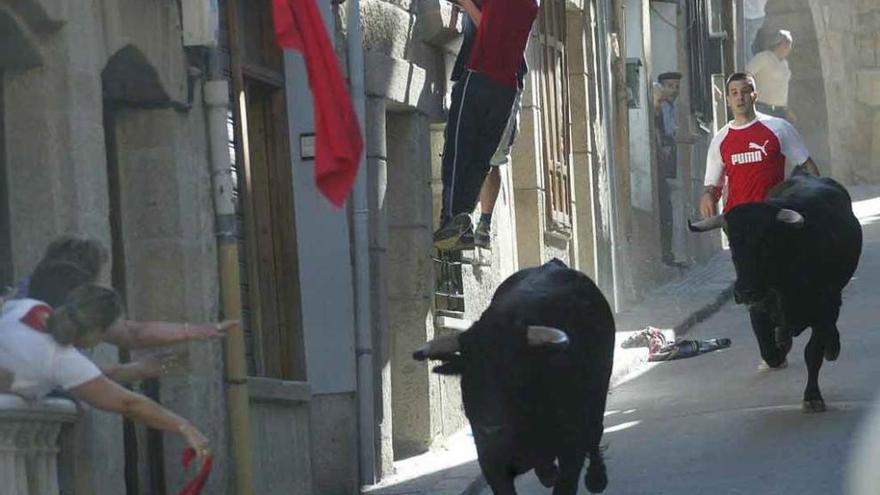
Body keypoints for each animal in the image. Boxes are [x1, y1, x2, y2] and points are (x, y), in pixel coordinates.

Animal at [414, 262, 616, 494]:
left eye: (514, 371)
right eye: (469, 373)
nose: (490, 429)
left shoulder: (571, 449)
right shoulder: (491, 461)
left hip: (599, 391)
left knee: (595, 430)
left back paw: (596, 478)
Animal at [692, 172, 864, 412]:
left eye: (764, 241)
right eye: (732, 243)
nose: (744, 291)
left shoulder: (824, 307)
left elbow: (813, 352)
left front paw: (812, 396)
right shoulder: (758, 310)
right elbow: (769, 350)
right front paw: (782, 343)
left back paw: (832, 346)